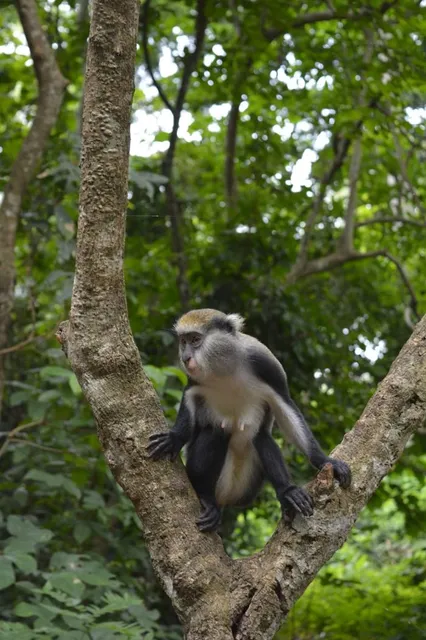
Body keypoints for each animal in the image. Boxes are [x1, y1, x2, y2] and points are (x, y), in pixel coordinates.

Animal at [147, 309, 351, 532]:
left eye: (195, 340)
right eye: (183, 341)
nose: (185, 358)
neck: (224, 366)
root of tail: (225, 499)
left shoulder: (266, 363)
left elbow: (285, 405)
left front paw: (324, 460)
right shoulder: (194, 380)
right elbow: (189, 398)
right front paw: (175, 437)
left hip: (246, 487)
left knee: (260, 437)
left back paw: (287, 491)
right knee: (216, 432)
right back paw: (206, 497)